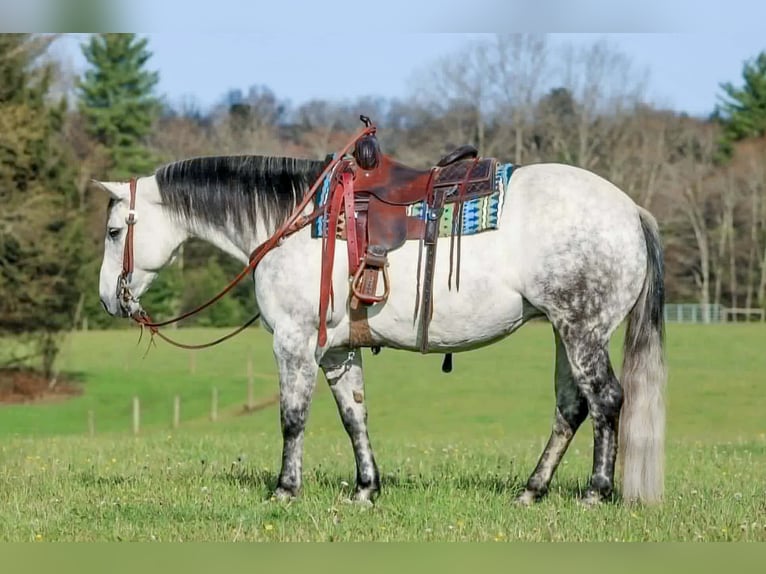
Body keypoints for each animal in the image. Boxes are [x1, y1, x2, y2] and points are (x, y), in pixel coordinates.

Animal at [94, 151, 666, 506]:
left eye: (115, 230)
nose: (107, 299)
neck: (290, 222)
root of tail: (630, 210)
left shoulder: (294, 342)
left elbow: (292, 418)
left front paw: (285, 489)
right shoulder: (335, 352)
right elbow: (354, 417)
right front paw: (366, 488)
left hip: (582, 331)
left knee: (606, 401)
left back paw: (595, 491)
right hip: (563, 332)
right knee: (571, 408)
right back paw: (531, 490)